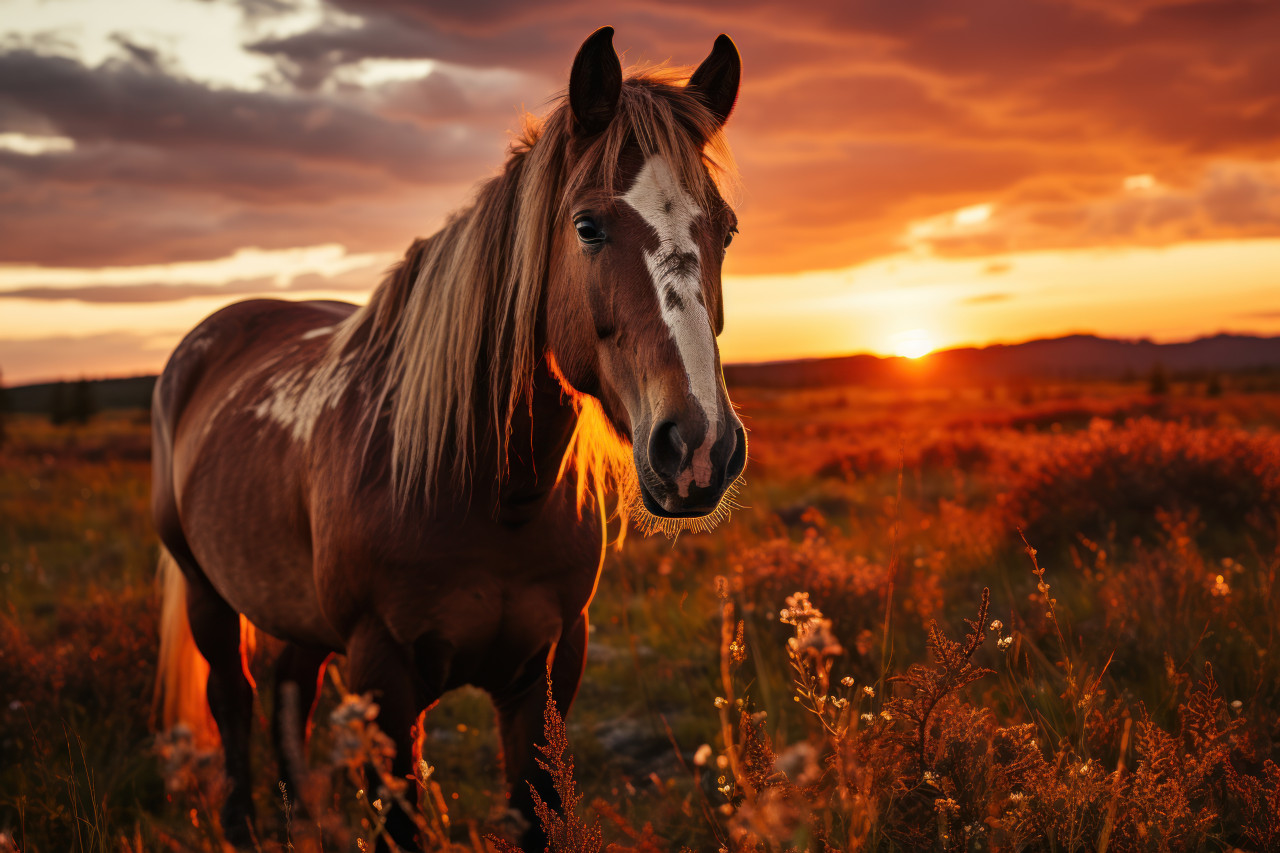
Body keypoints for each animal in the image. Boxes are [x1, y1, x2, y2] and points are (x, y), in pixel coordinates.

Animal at [153, 26, 746, 850]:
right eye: (587, 227)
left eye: (725, 228)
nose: (697, 446)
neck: (489, 495)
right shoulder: (383, 673)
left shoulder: (550, 669)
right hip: (209, 592)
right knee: (232, 697)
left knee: (287, 690)